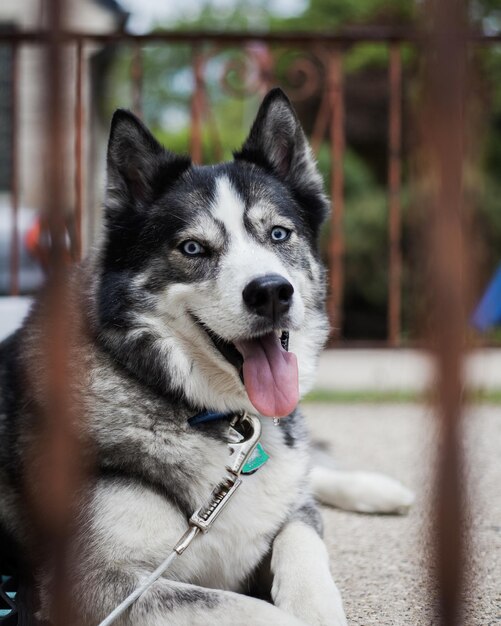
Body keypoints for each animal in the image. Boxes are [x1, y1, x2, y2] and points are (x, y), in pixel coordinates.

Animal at [0, 89, 412, 624]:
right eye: (193, 248)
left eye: (279, 234)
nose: (272, 292)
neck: (215, 414)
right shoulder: (100, 586)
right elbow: (255, 611)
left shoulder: (289, 512)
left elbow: (302, 538)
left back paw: (379, 490)